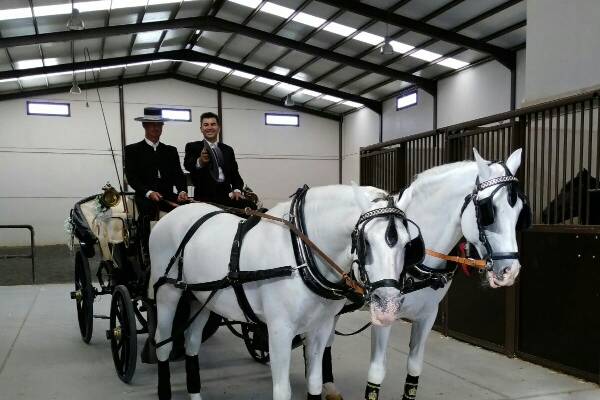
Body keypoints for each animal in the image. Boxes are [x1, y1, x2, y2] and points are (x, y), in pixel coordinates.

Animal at [149, 184, 420, 400]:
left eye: (408, 243)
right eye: (366, 242)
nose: (388, 305)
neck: (300, 253)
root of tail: (170, 215)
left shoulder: (320, 328)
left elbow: (314, 383)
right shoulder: (279, 331)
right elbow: (282, 391)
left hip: (201, 298)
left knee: (192, 342)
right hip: (167, 294)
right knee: (162, 344)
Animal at [324, 149, 528, 400]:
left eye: (519, 211)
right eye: (488, 211)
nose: (510, 271)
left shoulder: (427, 315)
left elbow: (414, 368)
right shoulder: (382, 313)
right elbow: (376, 373)